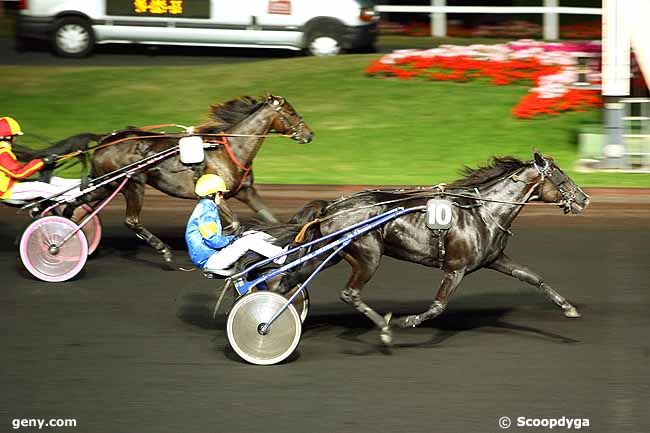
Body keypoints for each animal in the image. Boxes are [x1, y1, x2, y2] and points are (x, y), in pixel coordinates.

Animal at [71, 93, 314, 260]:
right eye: (291, 113)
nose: (309, 134)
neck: (230, 149)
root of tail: (106, 139)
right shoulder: (217, 194)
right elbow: (235, 225)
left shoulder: (246, 192)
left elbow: (271, 219)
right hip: (132, 183)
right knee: (131, 220)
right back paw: (163, 249)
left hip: (108, 185)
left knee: (76, 202)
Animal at [278, 152, 588, 344]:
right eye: (561, 178)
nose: (584, 199)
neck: (483, 211)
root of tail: (331, 207)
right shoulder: (456, 268)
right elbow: (438, 306)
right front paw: (404, 321)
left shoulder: (495, 258)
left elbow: (533, 277)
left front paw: (569, 307)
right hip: (368, 255)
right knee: (349, 293)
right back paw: (385, 328)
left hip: (331, 253)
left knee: (289, 280)